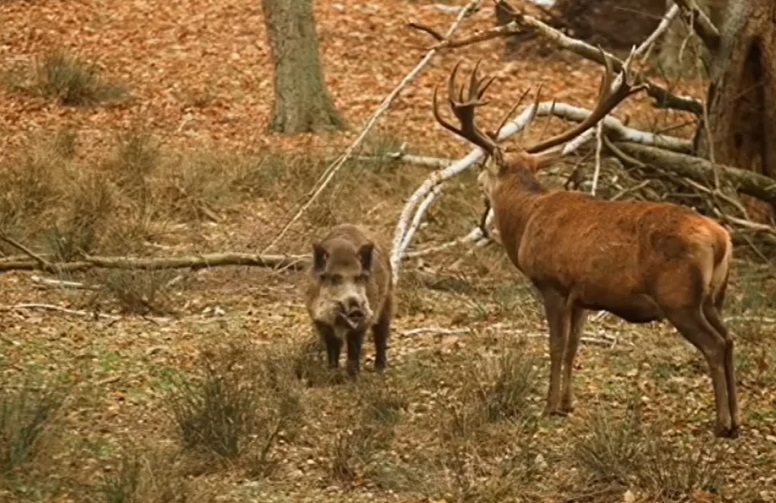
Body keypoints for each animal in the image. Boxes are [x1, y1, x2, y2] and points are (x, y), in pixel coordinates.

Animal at [304, 224, 394, 378]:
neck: (339, 321)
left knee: (381, 334)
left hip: (388, 301)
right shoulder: (320, 322)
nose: (356, 309)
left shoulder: (363, 323)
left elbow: (354, 348)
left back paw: (379, 368)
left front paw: (353, 377)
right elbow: (332, 347)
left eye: (359, 278)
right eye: (334, 278)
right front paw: (331, 373)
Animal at [431, 55, 739, 438]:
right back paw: (736, 420)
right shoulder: (584, 295)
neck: (526, 219)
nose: (476, 181)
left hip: (679, 297)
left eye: (487, 165)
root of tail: (721, 239)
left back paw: (722, 423)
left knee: (714, 344)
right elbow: (574, 348)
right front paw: (566, 404)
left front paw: (549, 406)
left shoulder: (552, 283)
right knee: (729, 339)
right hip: (713, 298)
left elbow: (556, 345)